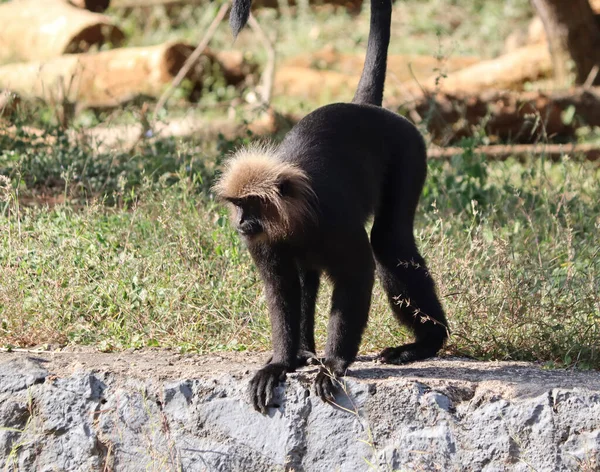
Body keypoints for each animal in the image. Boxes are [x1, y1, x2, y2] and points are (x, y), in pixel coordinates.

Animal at [213, 0, 448, 412]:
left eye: (252, 203)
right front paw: (281, 363)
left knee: (389, 241)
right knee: (308, 275)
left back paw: (425, 345)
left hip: (409, 148)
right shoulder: (262, 242)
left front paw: (335, 364)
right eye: (238, 204)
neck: (293, 220)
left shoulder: (334, 221)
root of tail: (365, 108)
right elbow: (281, 289)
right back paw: (304, 352)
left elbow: (358, 273)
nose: (241, 222)